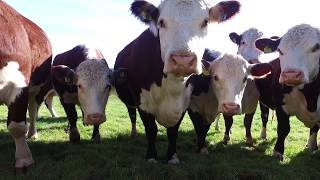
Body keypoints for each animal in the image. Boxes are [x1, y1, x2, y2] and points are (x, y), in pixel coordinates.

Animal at [0, 1, 52, 170]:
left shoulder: (18, 85)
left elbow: (16, 126)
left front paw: (24, 159)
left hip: (36, 89)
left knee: (33, 110)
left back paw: (32, 133)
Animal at [114, 0, 240, 163]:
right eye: (161, 22)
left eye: (205, 22)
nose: (182, 61)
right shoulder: (143, 102)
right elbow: (151, 129)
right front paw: (152, 157)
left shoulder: (184, 103)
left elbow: (174, 131)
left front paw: (172, 157)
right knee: (132, 115)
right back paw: (133, 133)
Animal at [255, 23, 320, 159]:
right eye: (280, 50)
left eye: (316, 47)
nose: (291, 75)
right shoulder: (280, 105)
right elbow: (283, 128)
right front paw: (278, 152)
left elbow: (315, 128)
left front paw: (312, 146)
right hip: (262, 102)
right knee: (264, 117)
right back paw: (263, 135)